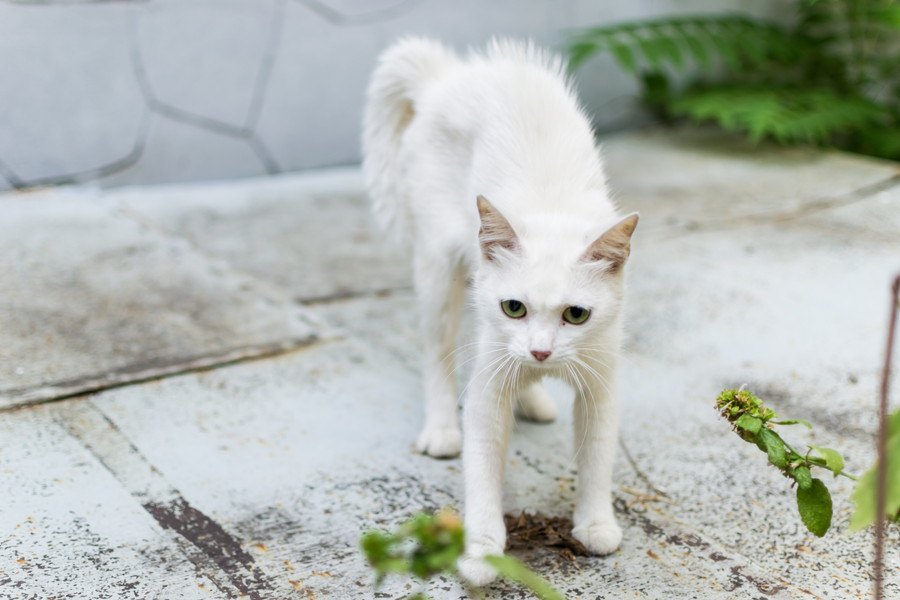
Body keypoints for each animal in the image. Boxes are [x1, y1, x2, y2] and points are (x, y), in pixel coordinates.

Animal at [362, 37, 636, 584]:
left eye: (577, 315)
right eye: (514, 307)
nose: (541, 351)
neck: (553, 212)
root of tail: (444, 76)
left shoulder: (601, 381)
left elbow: (597, 457)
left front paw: (596, 523)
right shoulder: (487, 385)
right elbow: (483, 468)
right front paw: (482, 549)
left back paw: (531, 395)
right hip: (437, 269)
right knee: (436, 352)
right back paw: (442, 428)